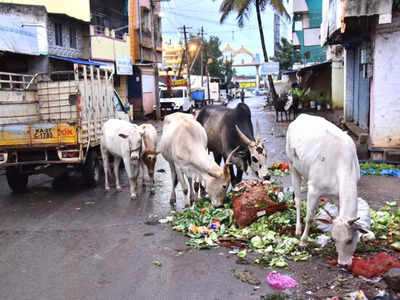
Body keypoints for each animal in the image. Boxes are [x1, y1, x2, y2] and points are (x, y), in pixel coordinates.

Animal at [286, 114, 364, 264]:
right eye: (334, 239)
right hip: (292, 166)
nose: (343, 264)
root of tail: (301, 116)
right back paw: (298, 229)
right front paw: (303, 241)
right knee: (297, 200)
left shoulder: (339, 197)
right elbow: (309, 217)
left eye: (350, 239)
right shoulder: (314, 189)